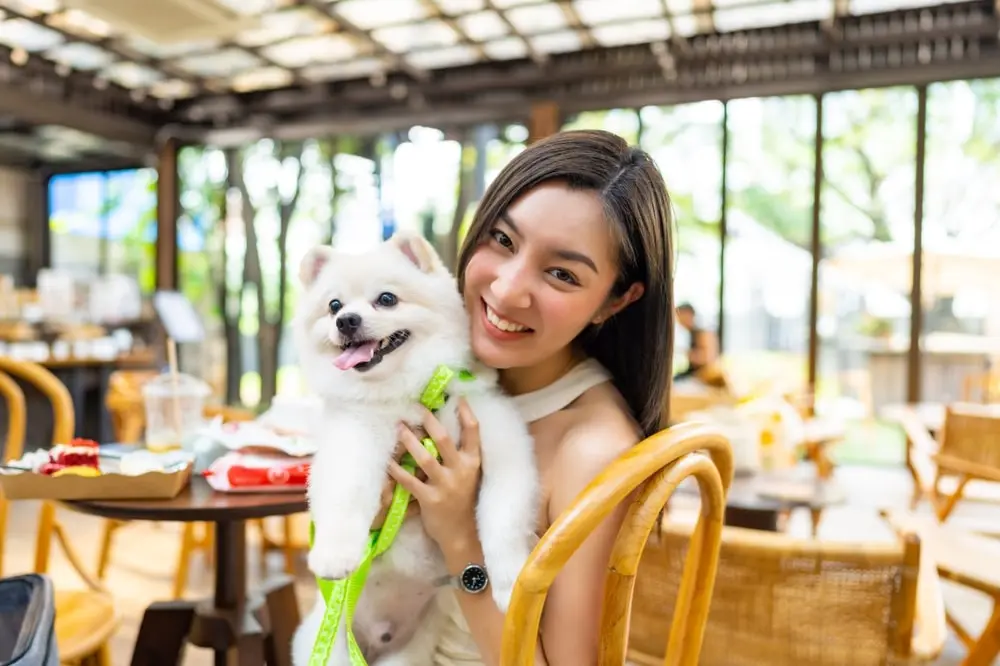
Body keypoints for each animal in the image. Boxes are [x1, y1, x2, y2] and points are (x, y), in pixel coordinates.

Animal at [290, 231, 540, 660]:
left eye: (387, 298)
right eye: (334, 305)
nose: (346, 320)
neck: (413, 395)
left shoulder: (499, 440)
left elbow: (502, 517)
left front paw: (509, 582)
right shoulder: (355, 437)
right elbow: (345, 495)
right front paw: (335, 555)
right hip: (331, 643)